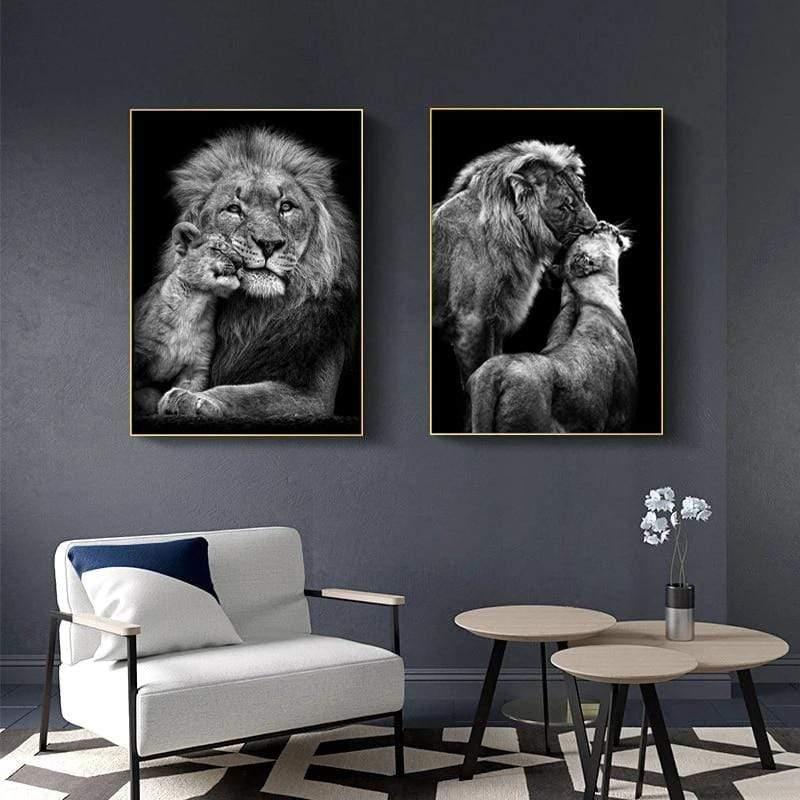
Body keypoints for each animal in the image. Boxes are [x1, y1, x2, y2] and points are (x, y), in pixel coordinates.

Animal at [135, 127, 358, 423]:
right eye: (233, 209)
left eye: (286, 207)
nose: (269, 244)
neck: (250, 314)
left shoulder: (314, 397)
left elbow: (247, 394)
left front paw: (193, 399)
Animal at [432, 140, 597, 386]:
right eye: (564, 207)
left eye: (582, 194)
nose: (593, 226)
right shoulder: (471, 320)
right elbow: (476, 371)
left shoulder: (495, 320)